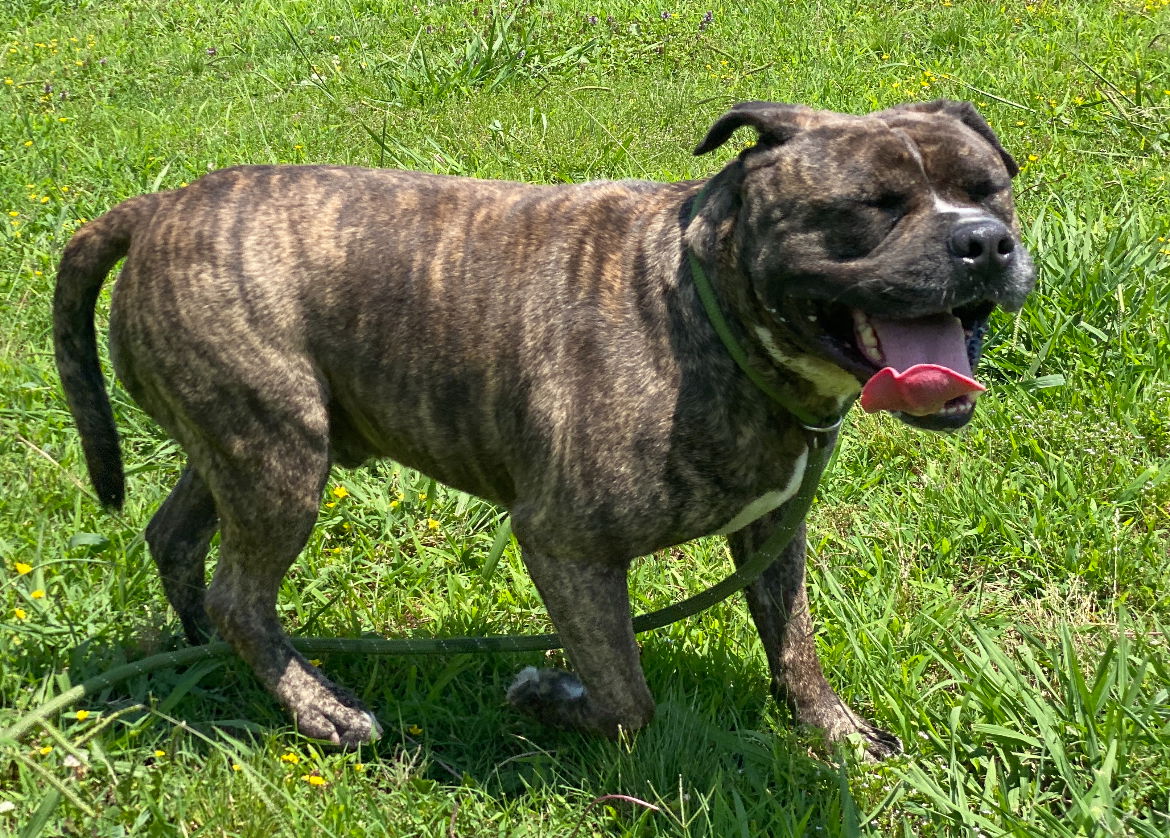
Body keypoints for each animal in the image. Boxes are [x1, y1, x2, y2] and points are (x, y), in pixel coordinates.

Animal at [54, 101, 1034, 758]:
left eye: (992, 188)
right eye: (874, 205)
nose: (985, 241)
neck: (706, 307)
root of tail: (154, 211)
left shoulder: (771, 534)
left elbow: (794, 646)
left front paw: (834, 732)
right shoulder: (567, 546)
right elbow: (627, 696)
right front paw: (546, 695)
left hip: (242, 444)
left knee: (180, 541)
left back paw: (210, 653)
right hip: (281, 462)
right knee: (242, 594)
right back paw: (316, 705)